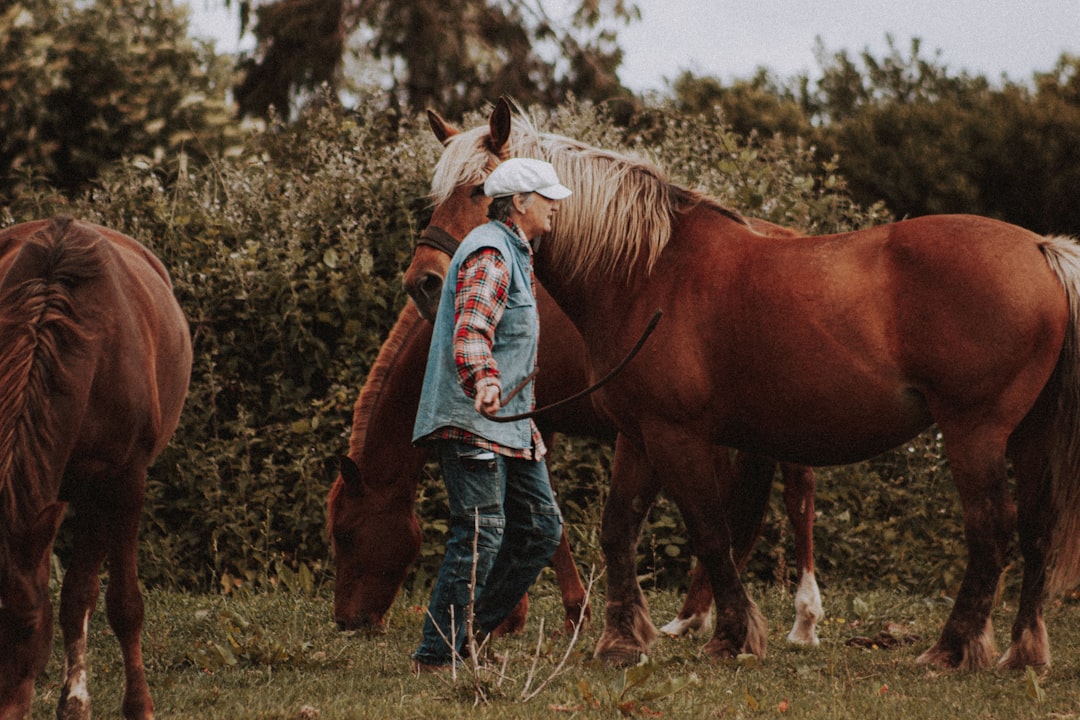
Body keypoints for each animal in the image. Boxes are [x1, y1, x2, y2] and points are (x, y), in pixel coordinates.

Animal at [324, 289, 820, 643]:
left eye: (345, 535)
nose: (347, 621)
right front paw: (516, 615)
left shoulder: (533, 424)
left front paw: (565, 613)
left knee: (784, 501)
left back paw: (785, 619)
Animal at [403, 95, 1080, 669]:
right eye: (436, 193)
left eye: (477, 190)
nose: (424, 282)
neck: (646, 270)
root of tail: (1041, 249)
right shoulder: (638, 435)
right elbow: (619, 528)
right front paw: (623, 640)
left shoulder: (678, 436)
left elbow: (710, 529)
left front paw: (731, 635)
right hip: (1027, 436)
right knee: (1037, 529)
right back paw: (1023, 652)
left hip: (974, 434)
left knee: (991, 530)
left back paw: (952, 649)